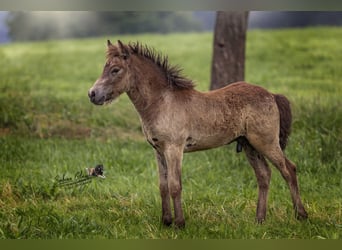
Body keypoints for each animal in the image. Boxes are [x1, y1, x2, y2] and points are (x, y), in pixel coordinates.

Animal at [87, 40, 308, 228]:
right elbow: (163, 186)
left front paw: (179, 224)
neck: (162, 102)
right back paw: (259, 219)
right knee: (264, 175)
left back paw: (301, 215)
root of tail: (272, 95)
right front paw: (165, 221)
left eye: (115, 70)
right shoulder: (158, 151)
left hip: (266, 142)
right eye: (105, 67)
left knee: (289, 169)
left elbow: (175, 186)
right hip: (249, 145)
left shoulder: (174, 149)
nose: (92, 94)